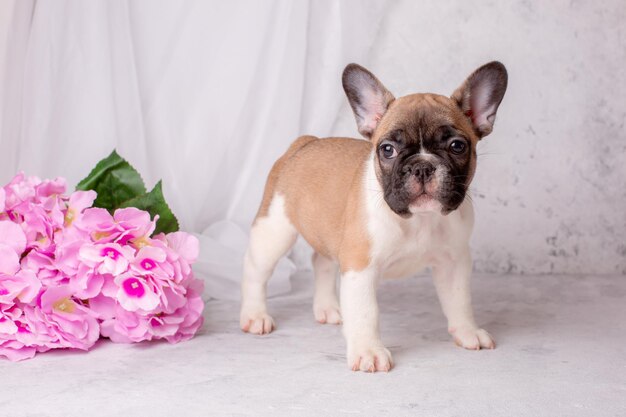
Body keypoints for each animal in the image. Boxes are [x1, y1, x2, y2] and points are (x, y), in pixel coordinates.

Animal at [239, 61, 508, 370]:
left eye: (457, 146)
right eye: (387, 149)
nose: (422, 167)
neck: (418, 220)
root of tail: (304, 143)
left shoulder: (454, 262)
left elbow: (460, 300)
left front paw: (467, 331)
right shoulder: (360, 268)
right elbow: (366, 312)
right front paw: (368, 351)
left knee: (321, 261)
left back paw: (328, 308)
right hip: (274, 230)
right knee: (256, 271)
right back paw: (255, 315)